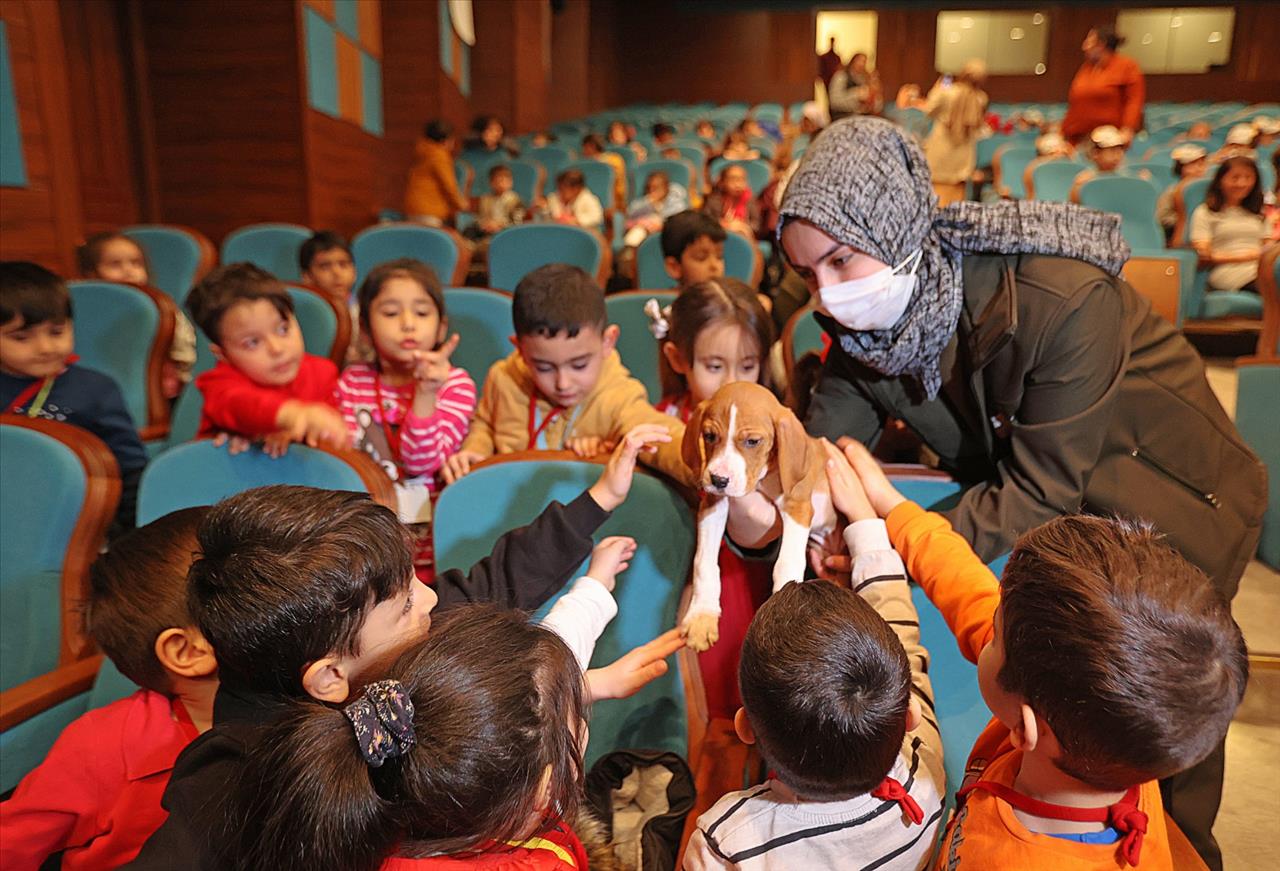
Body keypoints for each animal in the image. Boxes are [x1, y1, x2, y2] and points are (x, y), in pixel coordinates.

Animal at [686, 384, 834, 650]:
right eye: (709, 436)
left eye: (752, 441)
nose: (718, 480)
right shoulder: (713, 505)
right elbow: (704, 562)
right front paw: (701, 615)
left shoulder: (797, 507)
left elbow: (787, 563)